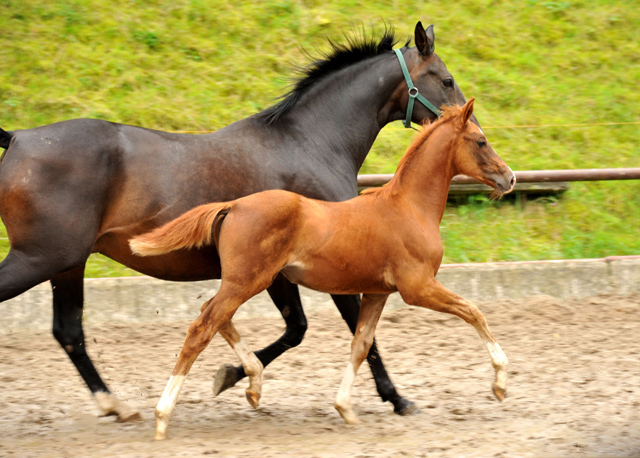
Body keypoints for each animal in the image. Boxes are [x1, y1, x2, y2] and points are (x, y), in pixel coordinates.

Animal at [0, 23, 478, 420]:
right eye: (446, 79)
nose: (472, 125)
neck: (309, 143)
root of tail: (19, 137)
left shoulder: (279, 273)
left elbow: (297, 329)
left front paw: (231, 376)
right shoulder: (333, 265)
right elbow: (356, 331)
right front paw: (397, 398)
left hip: (67, 264)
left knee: (68, 332)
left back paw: (116, 405)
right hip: (41, 258)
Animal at [130, 99, 516, 440]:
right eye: (480, 141)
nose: (510, 178)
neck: (408, 207)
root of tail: (233, 205)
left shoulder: (377, 292)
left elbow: (361, 344)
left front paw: (345, 408)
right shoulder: (417, 287)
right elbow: (474, 312)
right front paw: (499, 384)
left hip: (246, 282)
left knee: (213, 315)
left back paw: (251, 385)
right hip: (248, 281)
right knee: (202, 327)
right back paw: (163, 416)